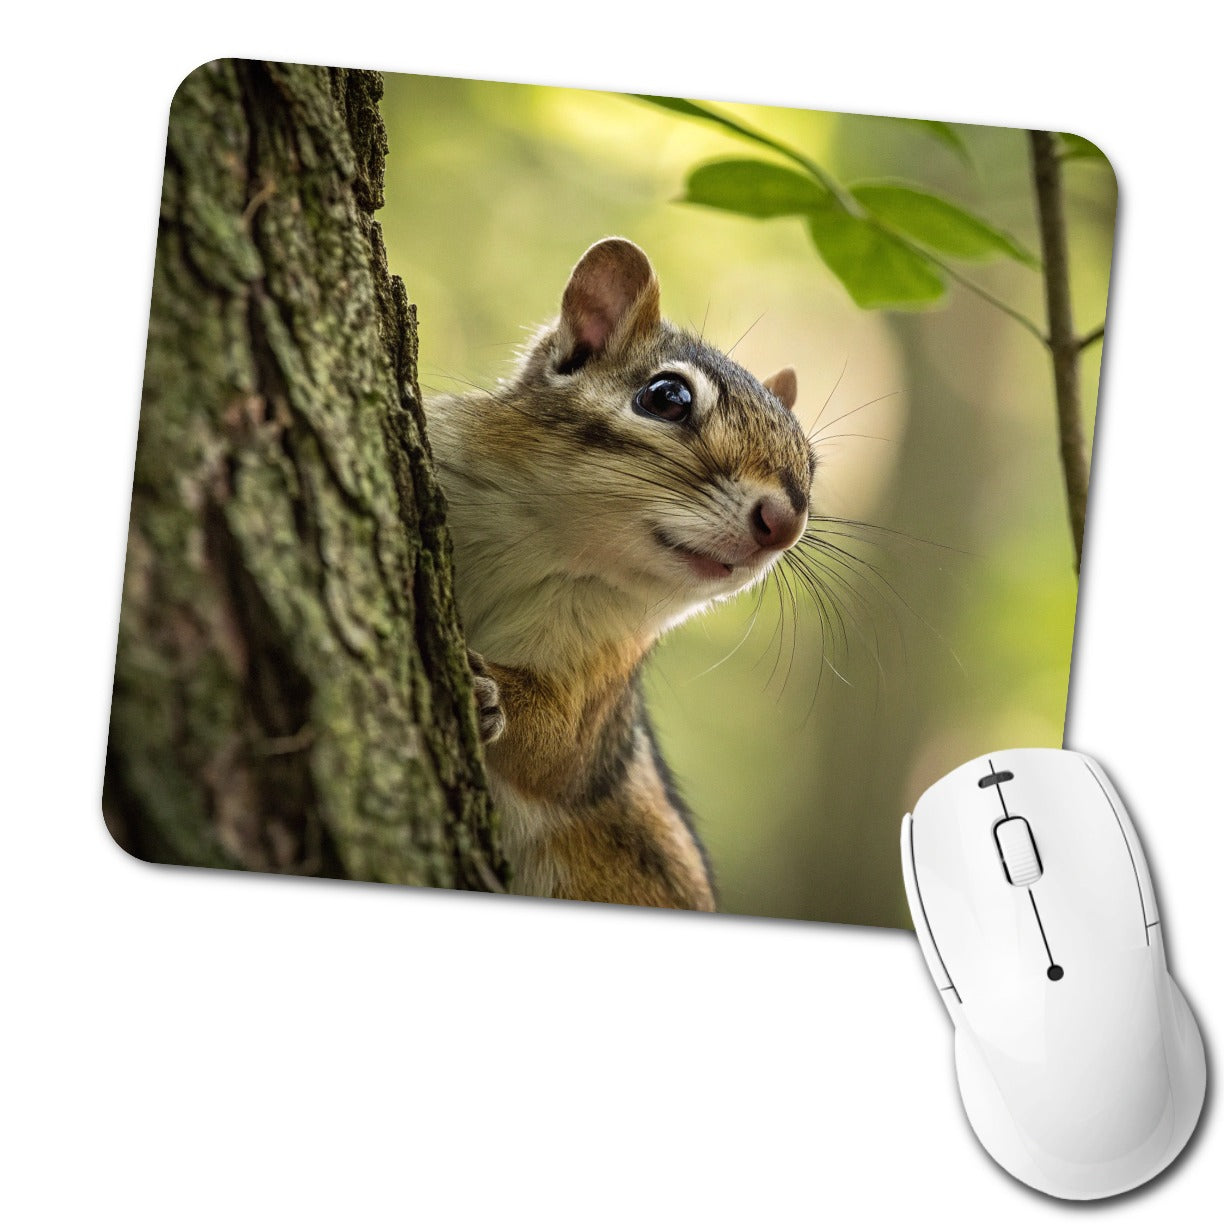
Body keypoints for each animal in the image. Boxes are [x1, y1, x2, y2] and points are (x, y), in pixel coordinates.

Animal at [425, 238, 814, 911]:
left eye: (811, 462)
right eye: (666, 397)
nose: (785, 523)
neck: (548, 543)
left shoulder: (601, 679)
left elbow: (558, 747)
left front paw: (489, 692)